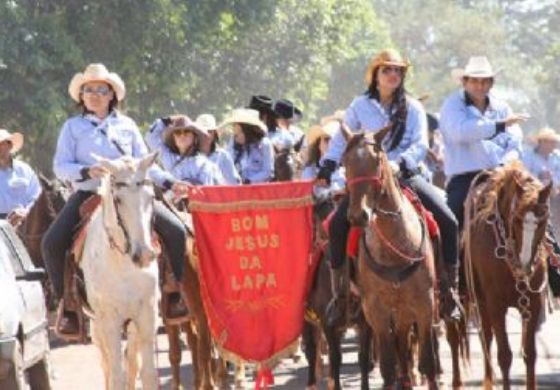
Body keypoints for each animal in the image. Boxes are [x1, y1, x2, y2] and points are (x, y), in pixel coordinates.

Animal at [78, 154, 160, 388]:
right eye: (119, 200)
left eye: (151, 197)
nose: (144, 254)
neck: (123, 265)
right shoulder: (109, 321)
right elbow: (116, 376)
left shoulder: (147, 314)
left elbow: (147, 373)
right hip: (96, 326)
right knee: (107, 367)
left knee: (132, 363)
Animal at [344, 127, 440, 386]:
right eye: (344, 163)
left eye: (376, 161)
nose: (358, 216)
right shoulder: (376, 310)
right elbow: (388, 367)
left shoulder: (425, 305)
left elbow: (428, 363)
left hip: (406, 312)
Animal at [464, 162, 552, 390]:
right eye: (517, 218)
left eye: (543, 220)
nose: (525, 263)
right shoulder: (495, 305)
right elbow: (504, 355)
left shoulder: (533, 303)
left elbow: (530, 354)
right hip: (481, 304)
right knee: (486, 338)